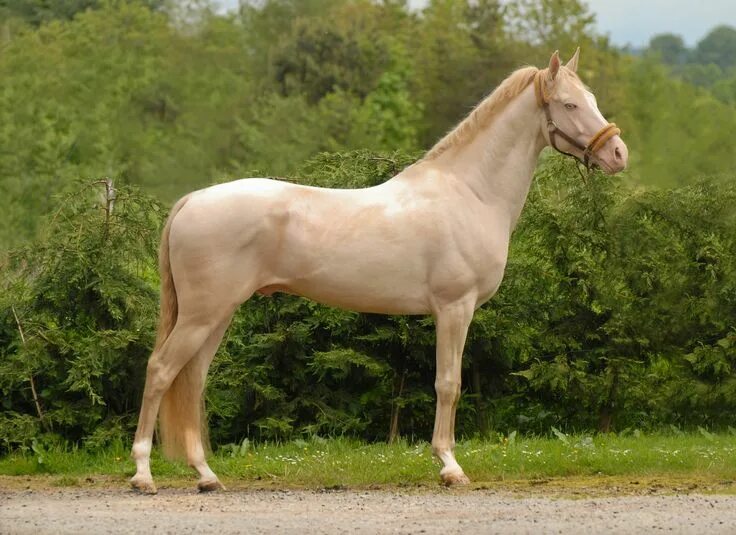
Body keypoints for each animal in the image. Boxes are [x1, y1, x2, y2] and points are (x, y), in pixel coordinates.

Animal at [131, 50, 628, 494]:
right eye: (569, 104)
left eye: (591, 98)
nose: (618, 153)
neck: (469, 191)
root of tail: (191, 201)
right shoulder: (455, 309)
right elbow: (449, 384)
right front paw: (449, 466)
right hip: (203, 314)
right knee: (160, 371)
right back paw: (143, 474)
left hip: (217, 315)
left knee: (192, 380)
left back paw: (206, 476)